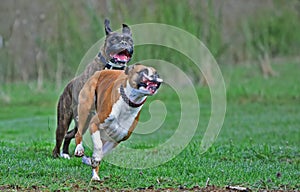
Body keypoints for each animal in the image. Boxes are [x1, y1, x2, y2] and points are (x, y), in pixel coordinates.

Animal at [51, 18, 134, 158]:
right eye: (114, 40)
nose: (124, 43)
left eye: (130, 41)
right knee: (62, 137)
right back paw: (58, 155)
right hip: (64, 121)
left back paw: (66, 153)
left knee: (70, 134)